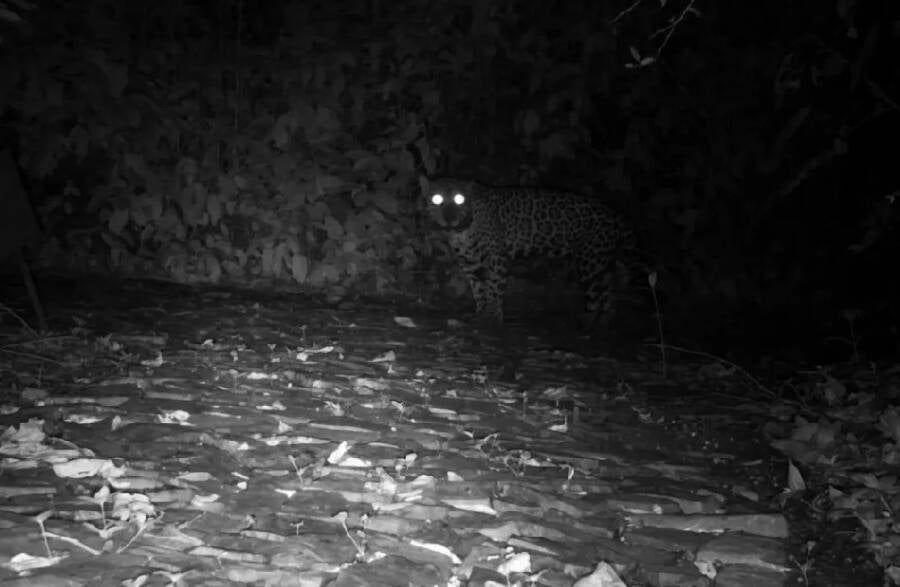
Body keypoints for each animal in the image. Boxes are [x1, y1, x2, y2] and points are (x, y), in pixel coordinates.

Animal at [425, 177, 643, 329]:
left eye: (459, 199)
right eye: (436, 199)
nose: (449, 217)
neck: (460, 231)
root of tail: (615, 214)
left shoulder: (496, 258)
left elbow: (493, 288)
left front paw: (492, 318)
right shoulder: (470, 262)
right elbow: (478, 290)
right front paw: (480, 314)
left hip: (590, 261)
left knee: (596, 295)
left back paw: (586, 324)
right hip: (600, 261)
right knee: (610, 292)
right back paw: (604, 324)